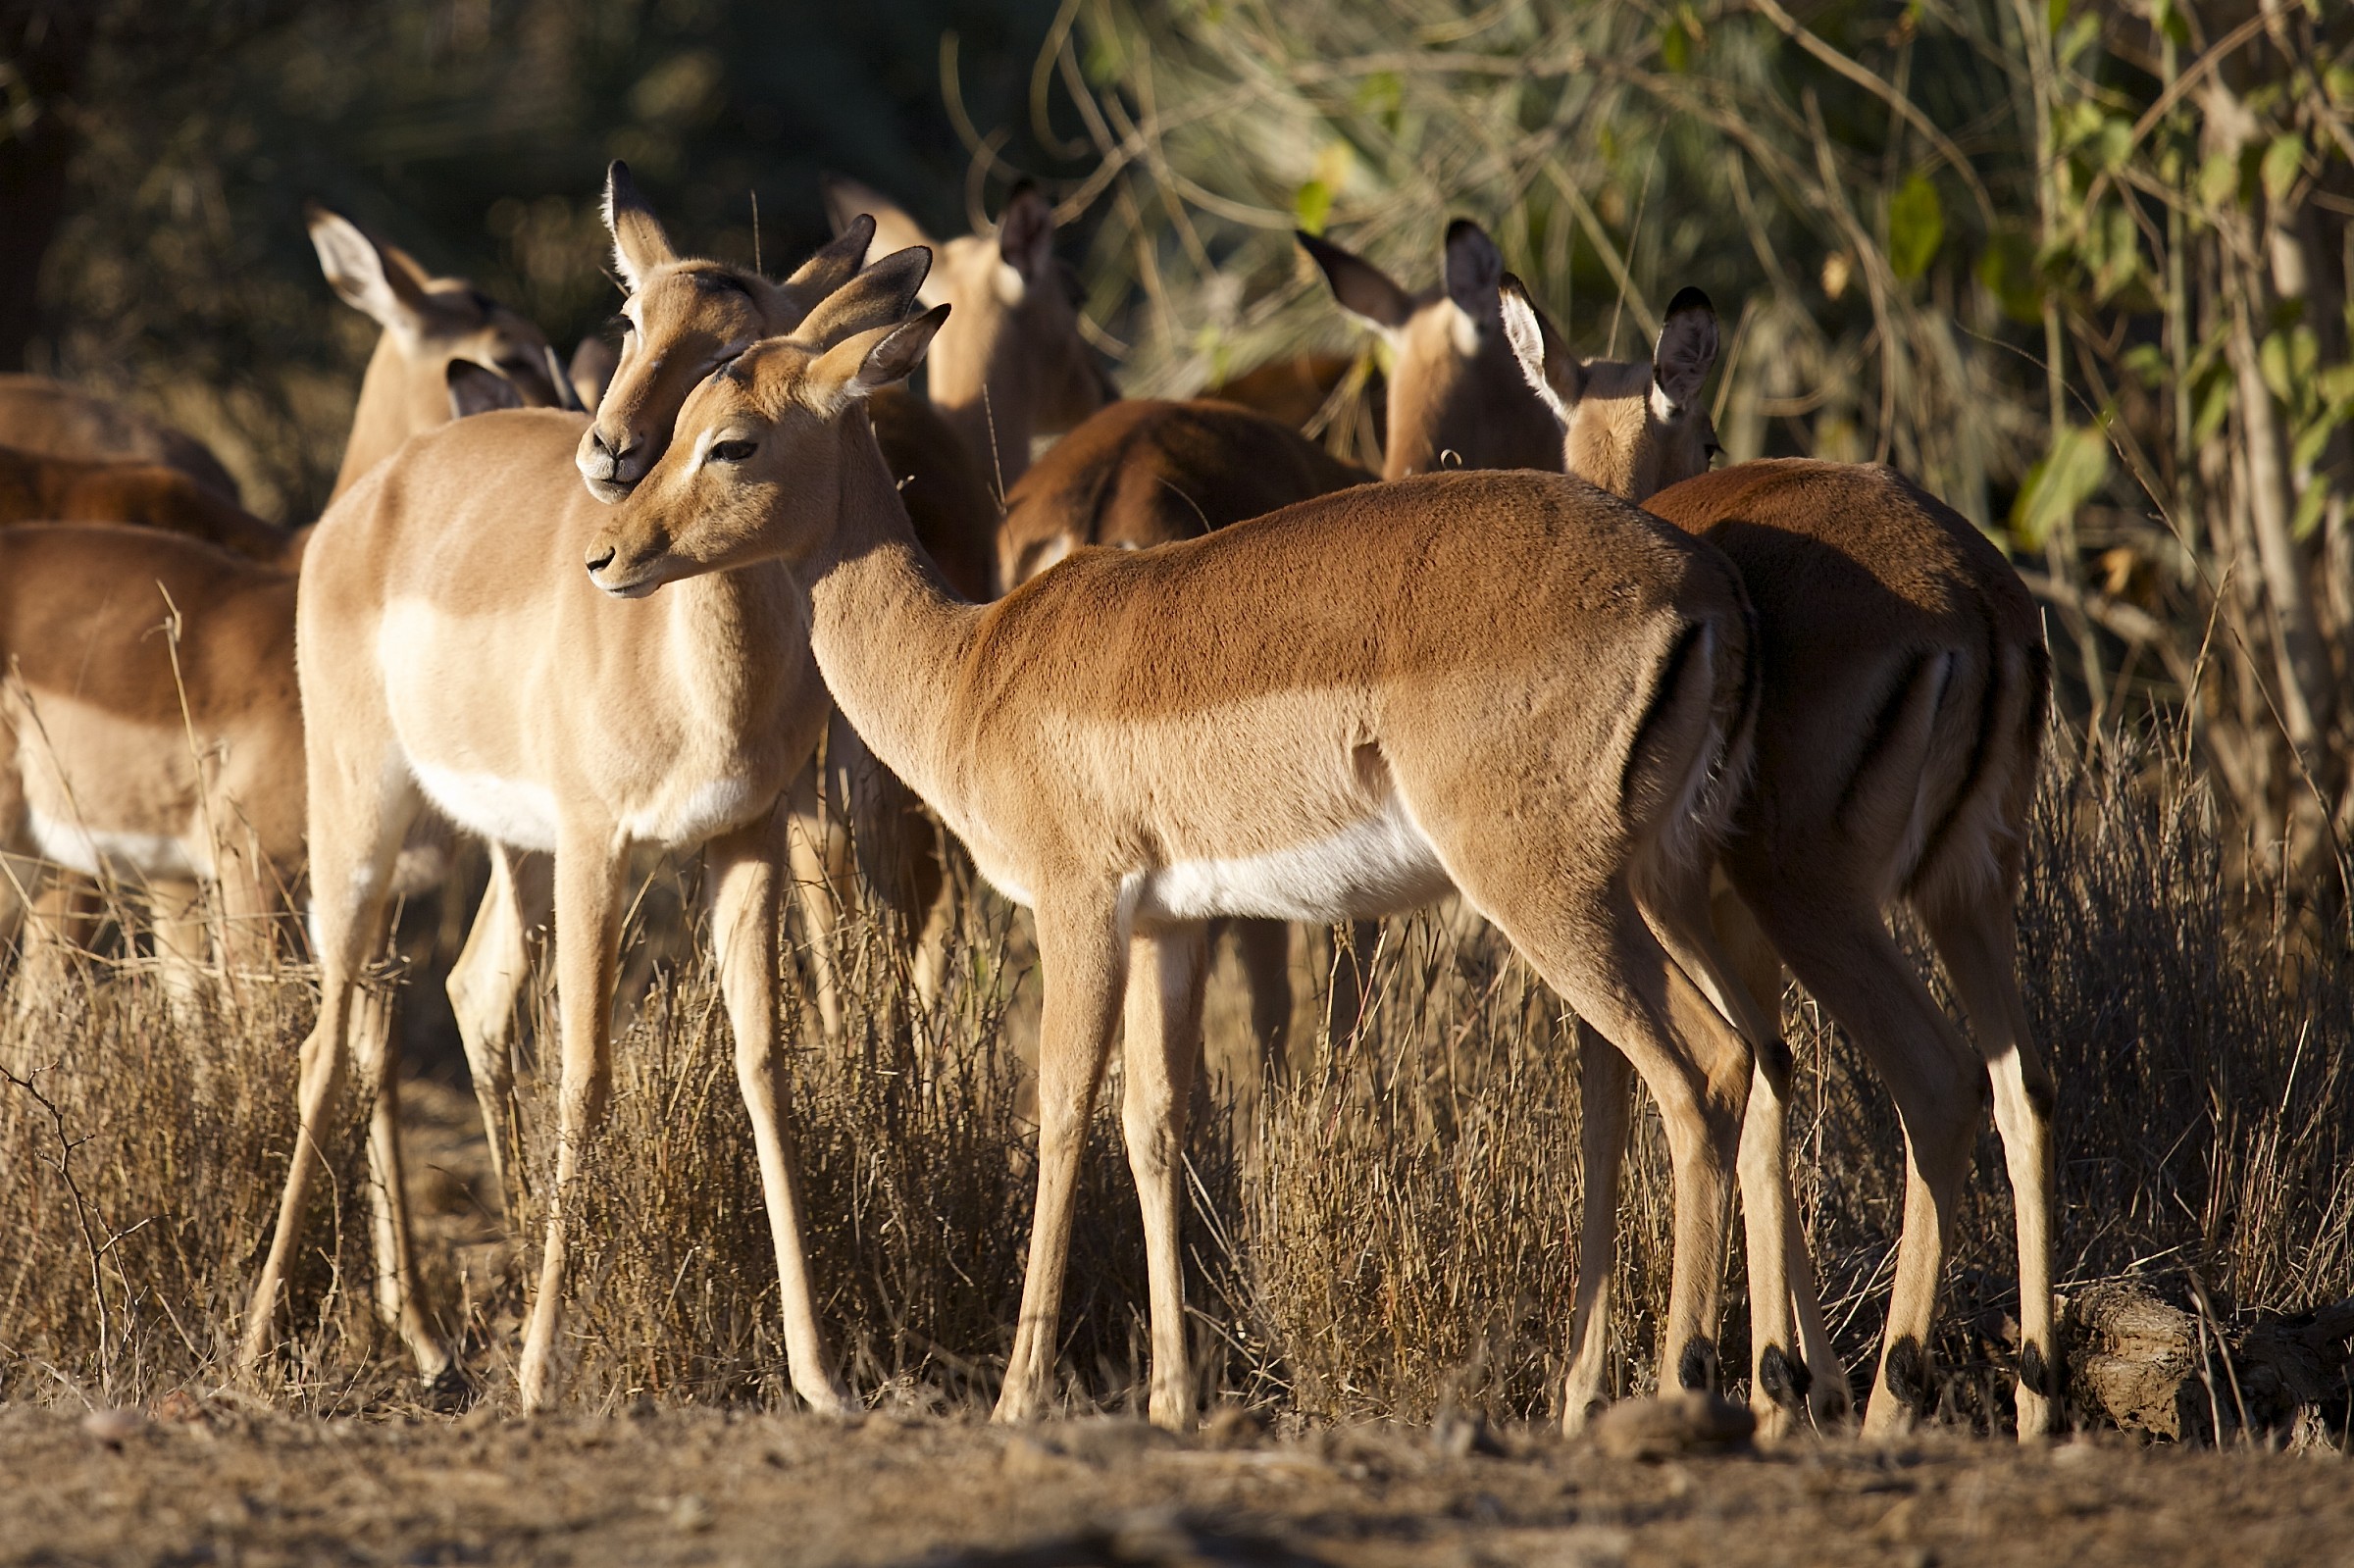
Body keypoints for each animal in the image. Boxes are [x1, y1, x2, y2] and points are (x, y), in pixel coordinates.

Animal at [586, 261, 1790, 1434]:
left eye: (733, 439)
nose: (607, 552)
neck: (973, 670)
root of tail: (1700, 587)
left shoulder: (1077, 902)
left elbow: (1062, 1112)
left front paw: (1020, 1397)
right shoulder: (1165, 922)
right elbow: (1155, 1124)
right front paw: (1170, 1397)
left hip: (1550, 892)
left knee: (1696, 1075)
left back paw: (1680, 1388)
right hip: (1662, 886)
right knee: (1745, 1063)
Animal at [1375, 240, 2050, 1439]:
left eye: (1712, 435)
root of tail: (1977, 602)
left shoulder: (1660, 913)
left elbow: (1630, 1096)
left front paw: (1646, 1386)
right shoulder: (1723, 929)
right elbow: (1770, 1075)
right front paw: (1790, 1376)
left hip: (1813, 901)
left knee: (1932, 1086)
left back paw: (1885, 1399)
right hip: (1964, 894)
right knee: (2021, 1094)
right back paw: (2031, 1406)